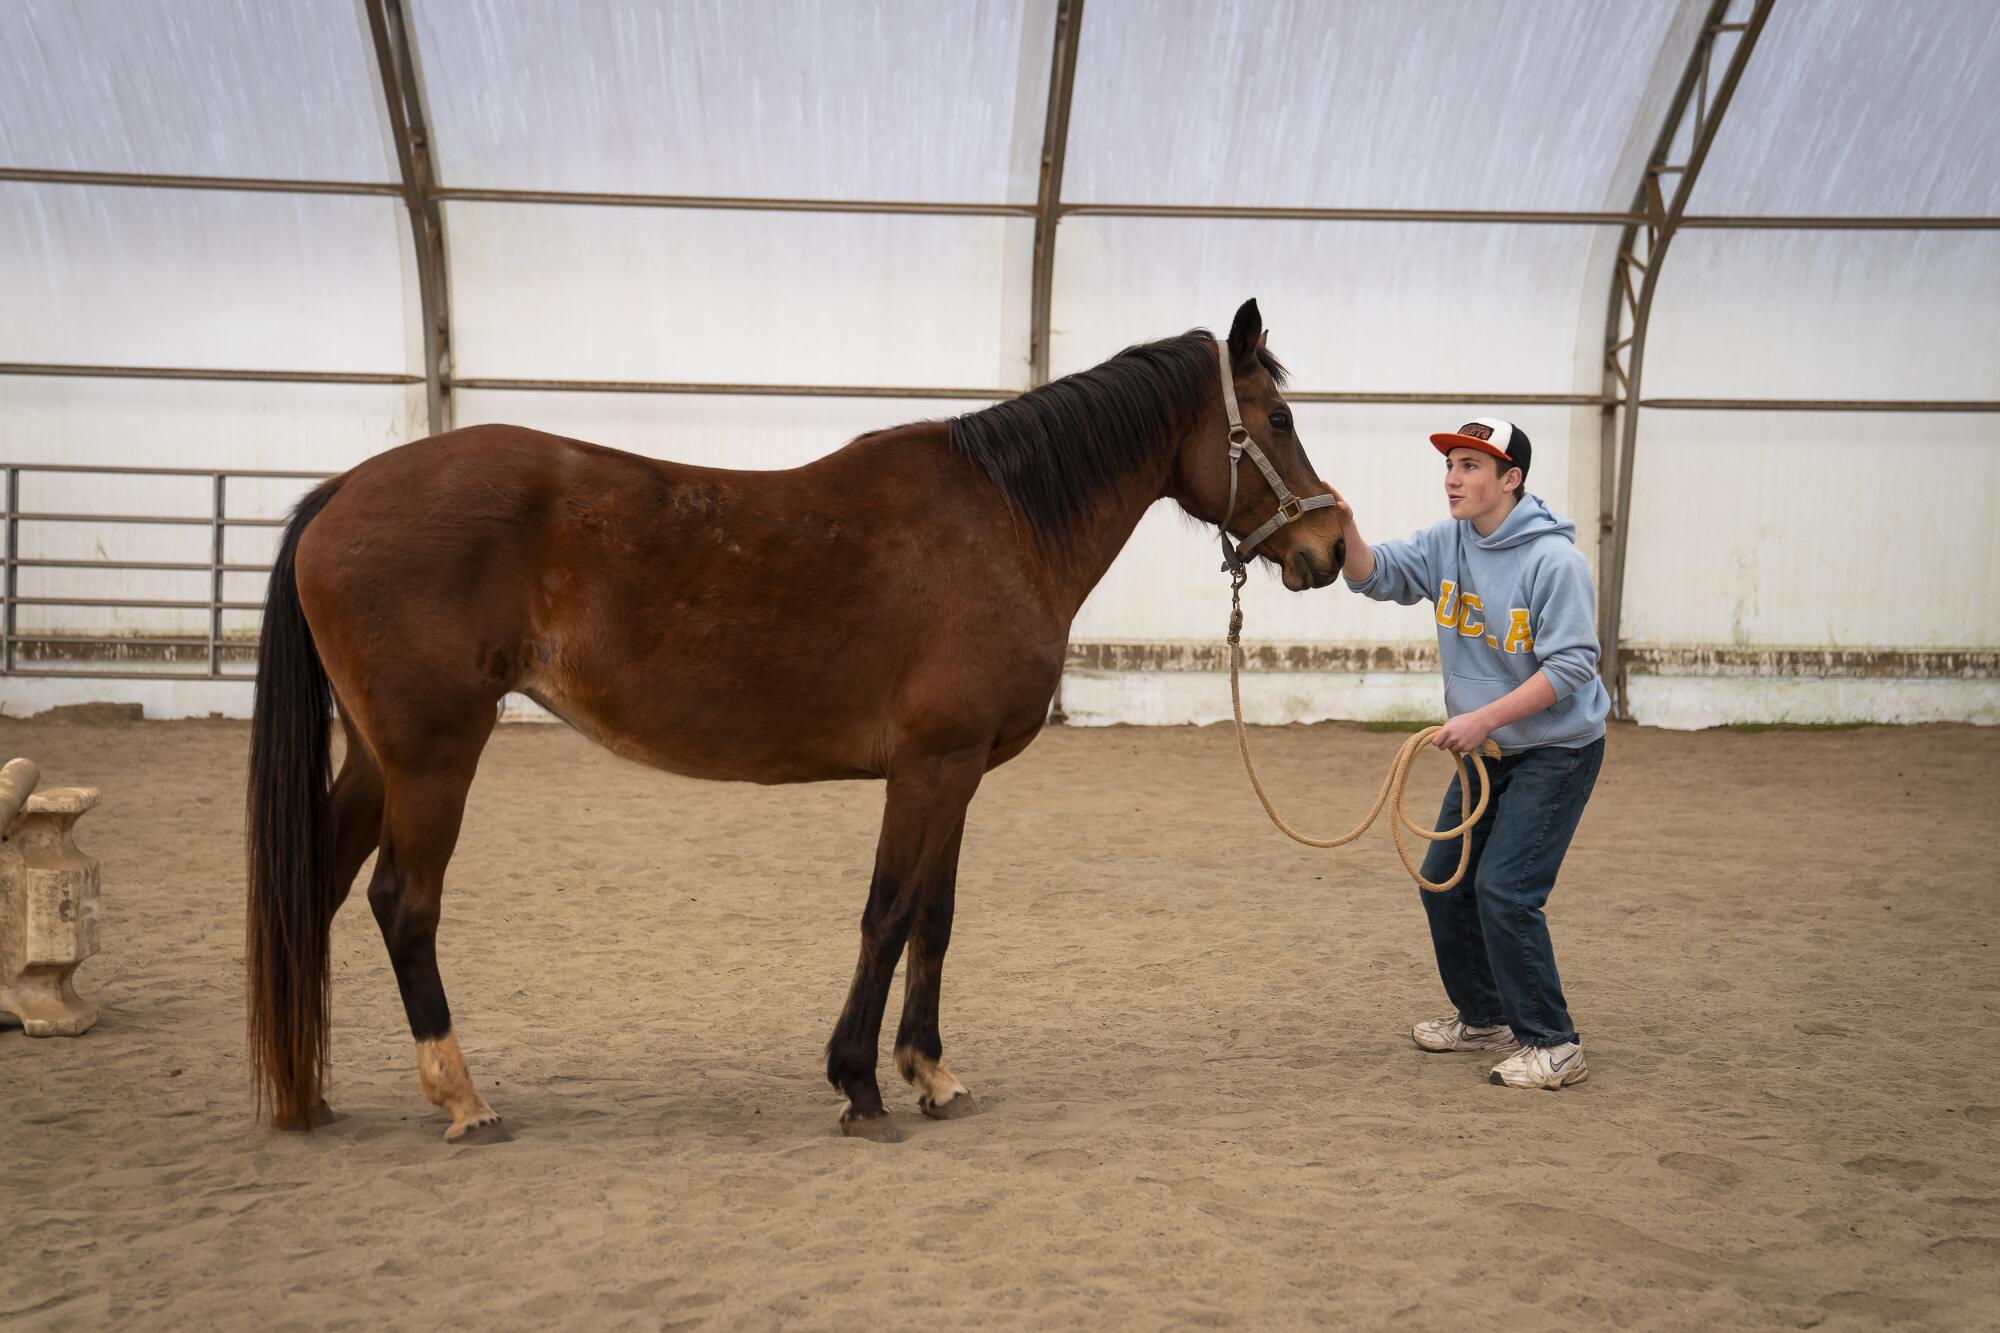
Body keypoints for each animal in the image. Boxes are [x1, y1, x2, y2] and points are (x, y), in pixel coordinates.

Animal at [246, 296, 1344, 1136]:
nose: (1330, 546)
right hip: (432, 756)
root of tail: (343, 491)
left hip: (377, 758)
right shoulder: (930, 766)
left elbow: (935, 917)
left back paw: (310, 1091)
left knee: (318, 887)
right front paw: (859, 1081)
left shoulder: (958, 771)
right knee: (403, 903)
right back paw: (461, 1097)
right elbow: (887, 912)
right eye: (1278, 417)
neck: (1002, 522)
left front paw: (930, 1072)